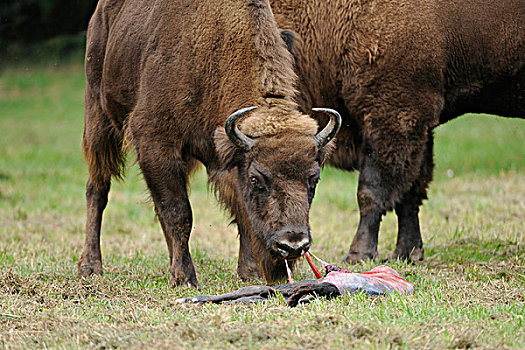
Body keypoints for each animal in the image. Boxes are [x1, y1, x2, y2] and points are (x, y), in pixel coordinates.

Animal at [78, 0, 340, 288]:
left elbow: (239, 211)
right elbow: (179, 212)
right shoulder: (155, 142)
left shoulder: (224, 158)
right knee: (97, 189)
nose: (292, 245)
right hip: (98, 118)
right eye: (256, 179)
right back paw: (90, 266)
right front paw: (184, 278)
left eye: (314, 178)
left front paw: (249, 272)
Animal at [270, 0, 524, 262]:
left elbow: (372, 190)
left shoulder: (395, 117)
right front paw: (407, 253)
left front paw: (358, 254)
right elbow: (410, 192)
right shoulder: (418, 129)